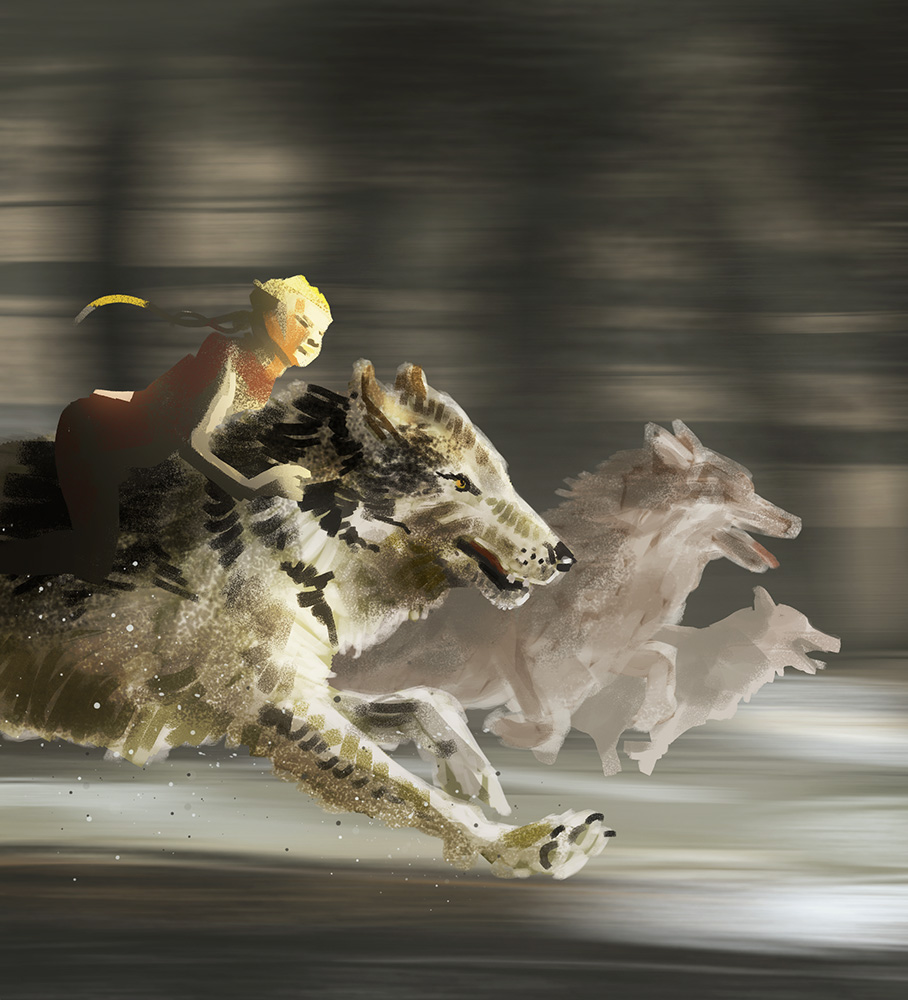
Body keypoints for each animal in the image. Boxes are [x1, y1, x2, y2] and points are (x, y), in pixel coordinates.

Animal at [0, 360, 610, 879]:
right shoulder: (270, 700)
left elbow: (428, 700)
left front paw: (473, 772)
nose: (565, 558)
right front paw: (526, 846)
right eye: (459, 481)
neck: (307, 535)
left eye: (503, 477)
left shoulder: (286, 685)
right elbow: (417, 796)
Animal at [334, 421, 816, 773]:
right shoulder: (517, 653)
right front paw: (510, 730)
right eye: (741, 492)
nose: (795, 522)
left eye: (752, 488)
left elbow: (663, 662)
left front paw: (652, 715)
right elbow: (552, 720)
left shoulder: (602, 657)